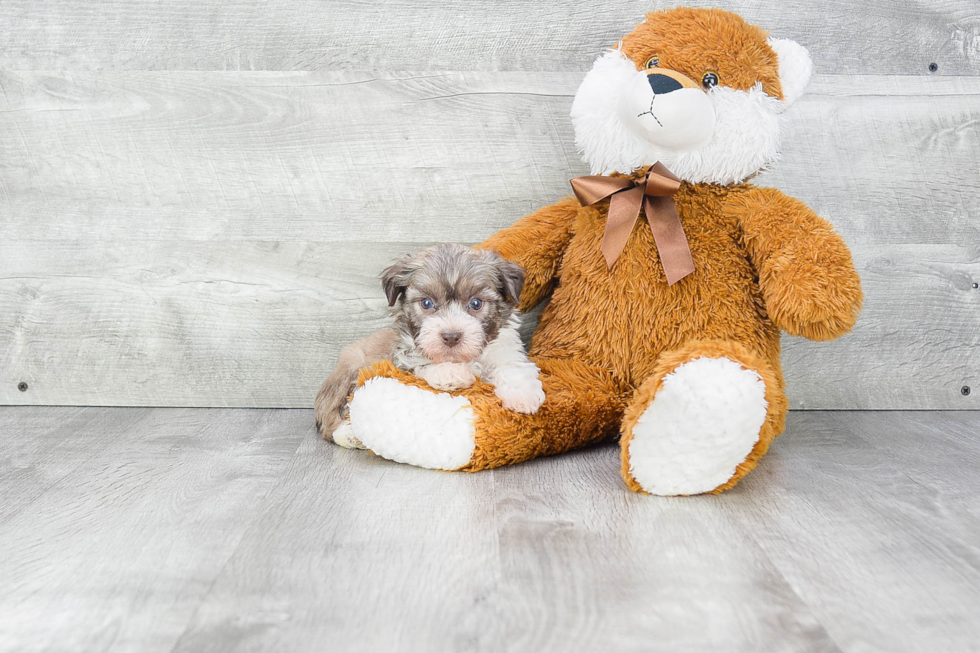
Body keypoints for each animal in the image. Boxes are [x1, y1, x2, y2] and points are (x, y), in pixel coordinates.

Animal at [316, 244, 548, 448]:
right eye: (427, 303)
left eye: (476, 303)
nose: (451, 336)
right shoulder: (403, 359)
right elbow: (423, 363)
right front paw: (451, 373)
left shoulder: (504, 349)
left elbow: (513, 366)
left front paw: (522, 395)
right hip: (350, 371)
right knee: (333, 417)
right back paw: (348, 434)